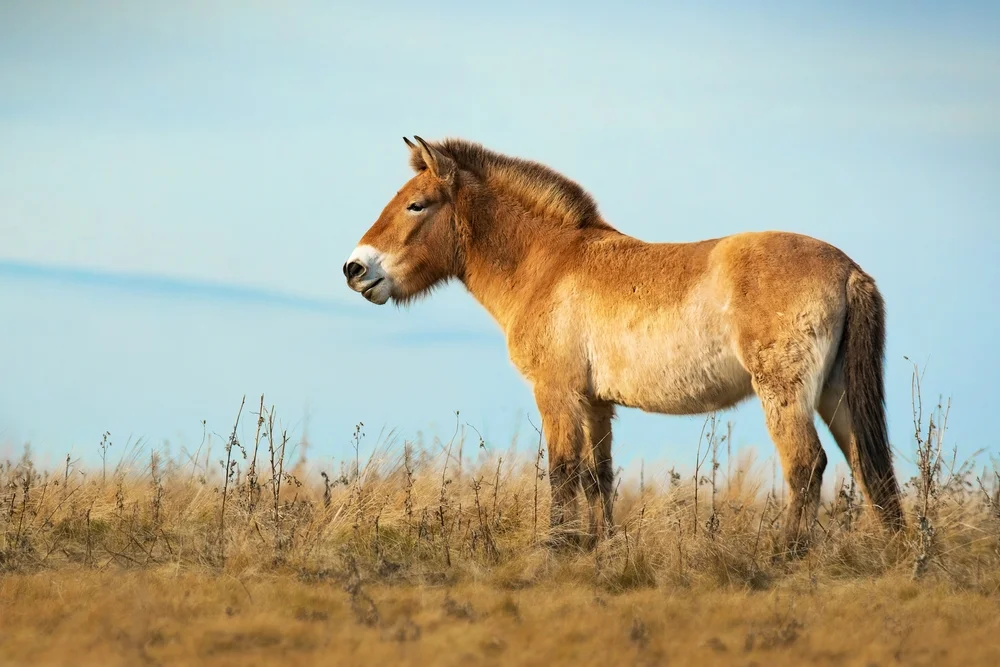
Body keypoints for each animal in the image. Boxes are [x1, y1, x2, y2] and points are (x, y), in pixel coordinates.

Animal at [341, 135, 905, 554]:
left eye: (417, 205)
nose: (355, 268)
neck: (549, 266)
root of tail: (849, 270)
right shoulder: (596, 404)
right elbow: (598, 477)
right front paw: (600, 547)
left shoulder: (558, 395)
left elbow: (563, 473)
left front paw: (557, 548)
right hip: (834, 395)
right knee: (869, 468)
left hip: (785, 395)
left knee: (806, 466)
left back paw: (785, 556)